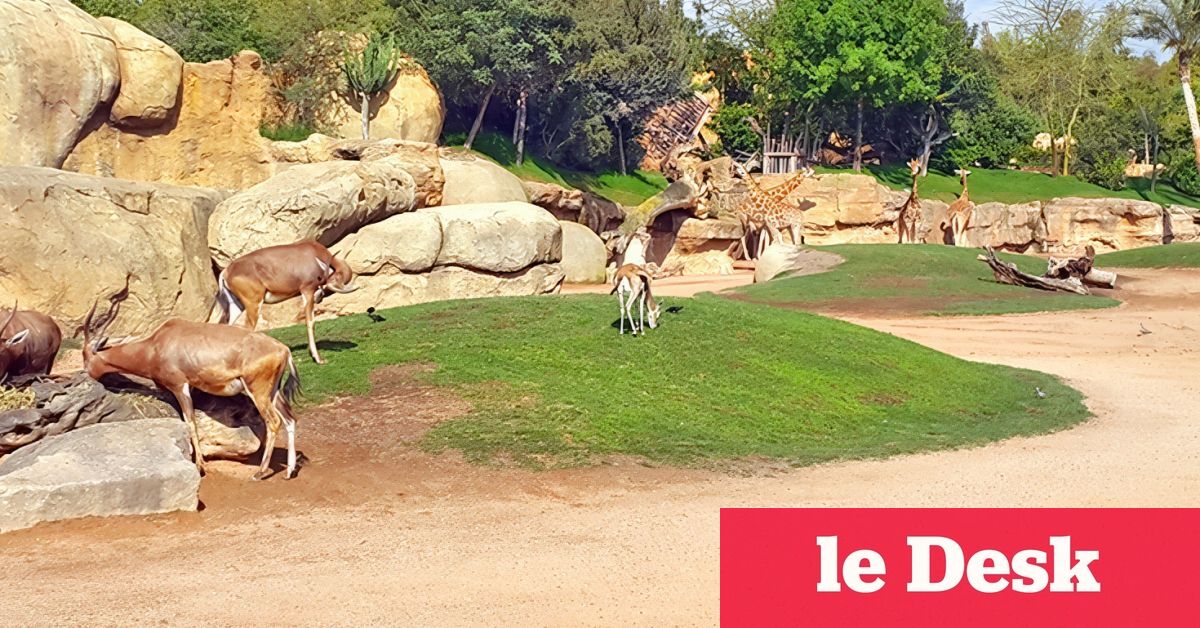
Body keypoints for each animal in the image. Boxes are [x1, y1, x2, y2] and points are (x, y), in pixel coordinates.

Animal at [84, 281, 303, 480]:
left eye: (85, 358)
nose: (87, 376)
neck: (156, 344)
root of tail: (283, 349)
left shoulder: (180, 387)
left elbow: (190, 422)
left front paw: (200, 466)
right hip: (273, 393)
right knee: (290, 419)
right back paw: (289, 471)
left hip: (258, 392)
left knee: (274, 422)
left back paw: (260, 472)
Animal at [212, 240, 358, 364]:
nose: (319, 298)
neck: (312, 251)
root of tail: (227, 271)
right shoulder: (307, 290)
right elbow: (310, 321)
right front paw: (318, 359)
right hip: (253, 304)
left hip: (237, 306)